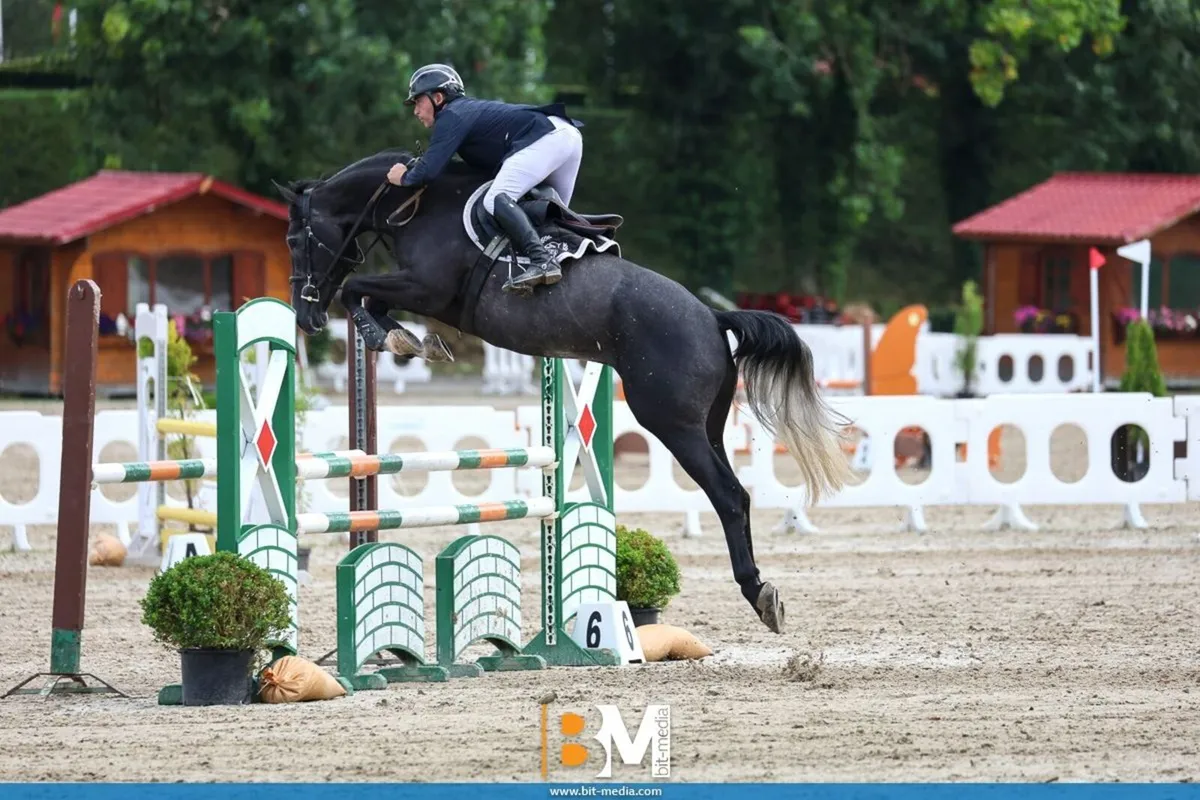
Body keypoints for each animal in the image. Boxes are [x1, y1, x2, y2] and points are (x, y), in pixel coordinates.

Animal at [273, 148, 852, 634]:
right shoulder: (421, 292)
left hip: (672, 424)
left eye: (295, 241)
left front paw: (393, 338)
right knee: (733, 491)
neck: (417, 205)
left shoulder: (428, 289)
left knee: (729, 496)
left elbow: (356, 290)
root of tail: (713, 317)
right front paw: (409, 339)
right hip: (705, 426)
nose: (305, 317)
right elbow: (369, 299)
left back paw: (760, 594)